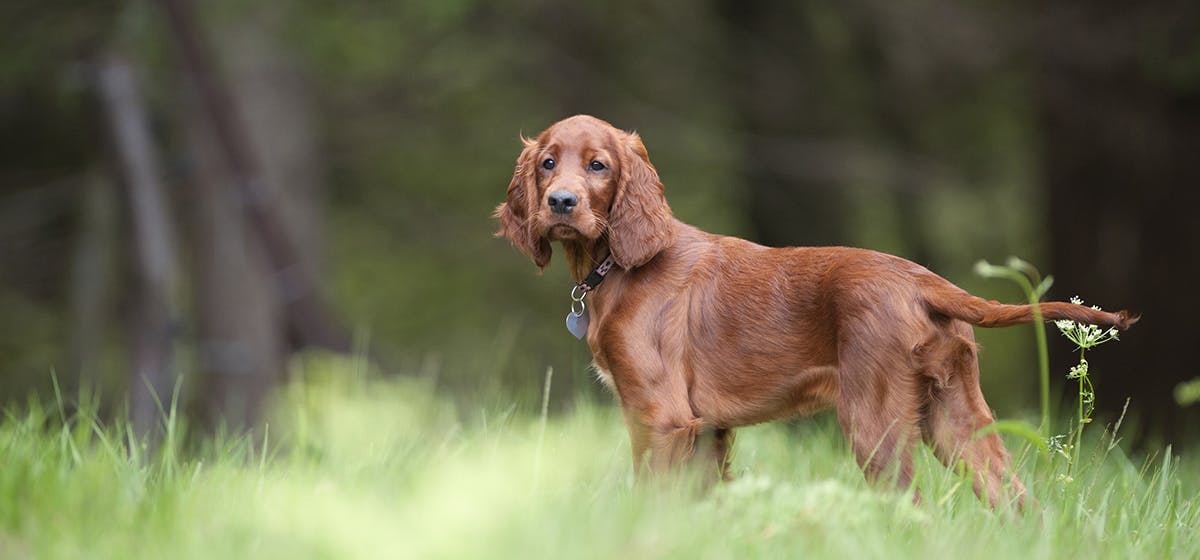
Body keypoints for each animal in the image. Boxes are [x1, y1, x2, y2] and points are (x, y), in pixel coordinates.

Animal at [492, 113, 1137, 508]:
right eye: (548, 163)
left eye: (597, 165)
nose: (561, 202)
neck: (621, 265)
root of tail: (924, 280)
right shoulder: (707, 430)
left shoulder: (662, 416)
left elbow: (649, 499)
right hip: (957, 417)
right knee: (1018, 501)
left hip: (875, 424)